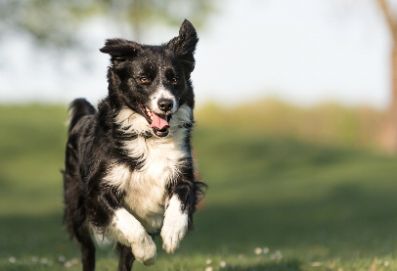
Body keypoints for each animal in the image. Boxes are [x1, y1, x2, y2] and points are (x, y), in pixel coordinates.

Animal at [62, 19, 204, 271]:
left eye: (175, 79)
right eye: (144, 79)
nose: (166, 103)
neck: (148, 137)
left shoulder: (182, 172)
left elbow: (181, 199)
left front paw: (172, 234)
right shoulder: (98, 190)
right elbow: (129, 223)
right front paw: (147, 251)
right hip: (76, 208)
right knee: (87, 250)